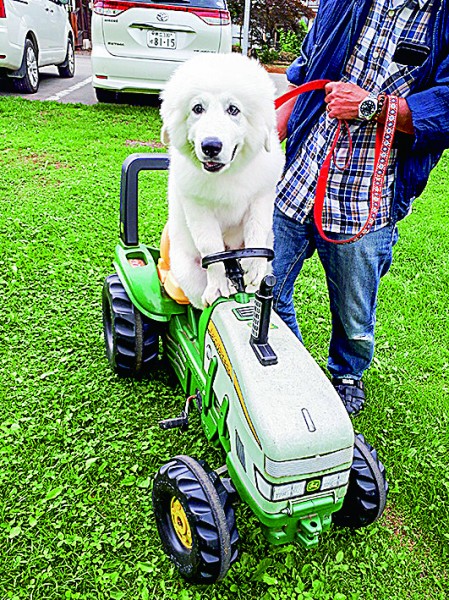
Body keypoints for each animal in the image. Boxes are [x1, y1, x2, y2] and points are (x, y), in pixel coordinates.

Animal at [161, 52, 284, 310]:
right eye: (197, 108)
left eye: (233, 109)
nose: (210, 146)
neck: (226, 174)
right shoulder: (198, 207)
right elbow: (211, 247)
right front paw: (217, 287)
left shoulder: (261, 196)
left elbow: (257, 229)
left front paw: (255, 272)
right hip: (186, 274)